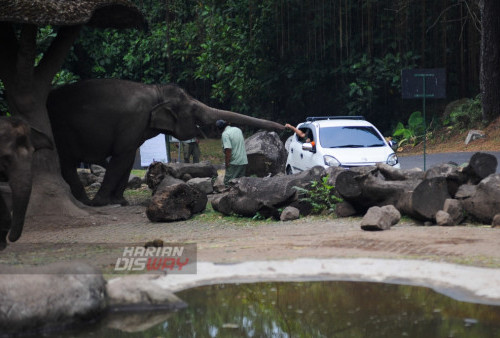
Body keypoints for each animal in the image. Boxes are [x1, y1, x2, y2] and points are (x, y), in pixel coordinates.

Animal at [47, 79, 286, 206]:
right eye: (193, 109)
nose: (285, 127)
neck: (156, 91)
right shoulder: (134, 121)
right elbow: (121, 158)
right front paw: (103, 202)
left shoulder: (135, 129)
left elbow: (126, 159)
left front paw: (120, 201)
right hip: (61, 130)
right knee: (66, 163)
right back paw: (85, 202)